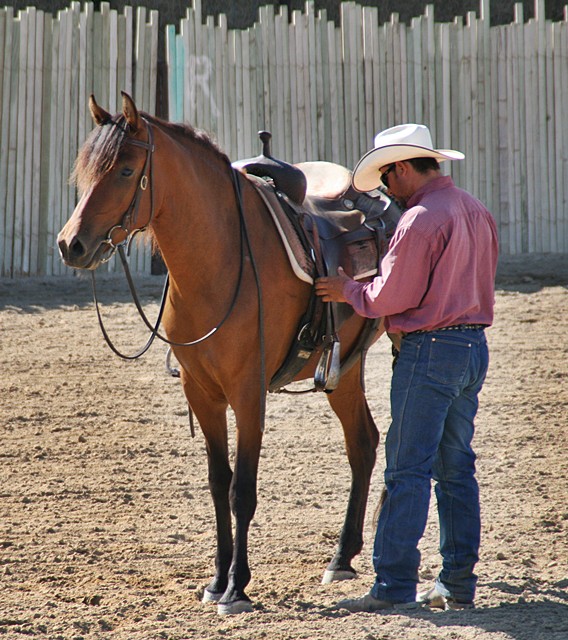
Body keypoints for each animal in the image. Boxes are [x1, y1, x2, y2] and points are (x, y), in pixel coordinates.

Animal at [57, 94, 384, 616]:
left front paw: (237, 587)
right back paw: (341, 557)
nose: (72, 244)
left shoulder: (248, 393)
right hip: (343, 371)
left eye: (126, 170)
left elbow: (241, 489)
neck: (221, 261)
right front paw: (216, 580)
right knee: (363, 443)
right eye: (85, 171)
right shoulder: (202, 393)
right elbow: (216, 483)